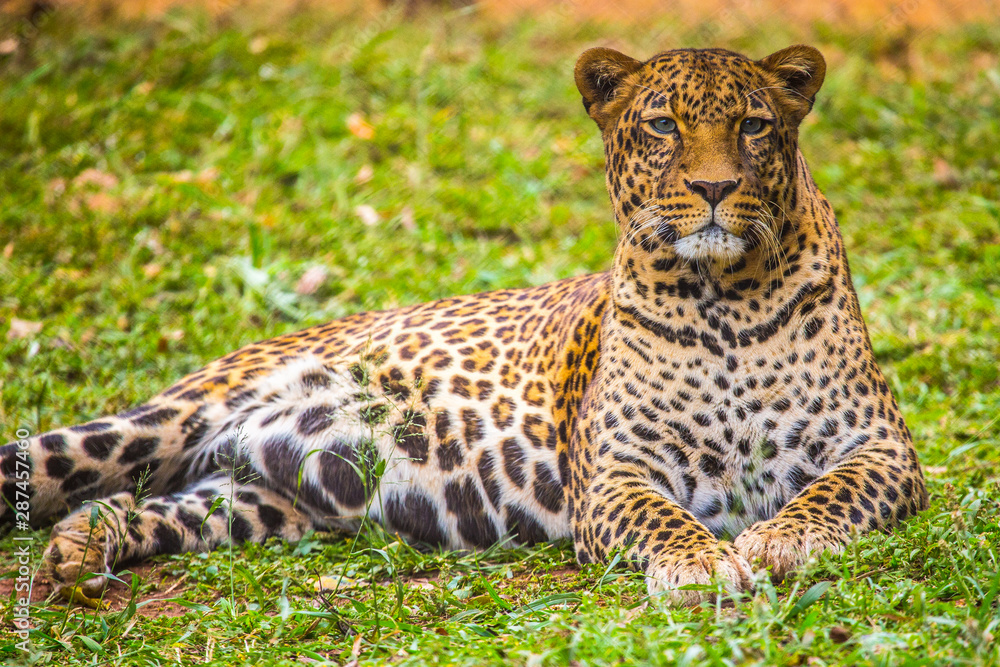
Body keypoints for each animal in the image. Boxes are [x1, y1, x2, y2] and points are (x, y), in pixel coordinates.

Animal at [1, 44, 929, 606]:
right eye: (663, 124)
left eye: (754, 124)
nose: (710, 188)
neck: (724, 296)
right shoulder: (618, 472)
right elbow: (665, 519)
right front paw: (700, 561)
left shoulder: (882, 448)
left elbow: (827, 494)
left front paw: (774, 542)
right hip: (162, 420)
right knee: (65, 461)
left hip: (261, 499)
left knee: (163, 504)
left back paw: (86, 544)